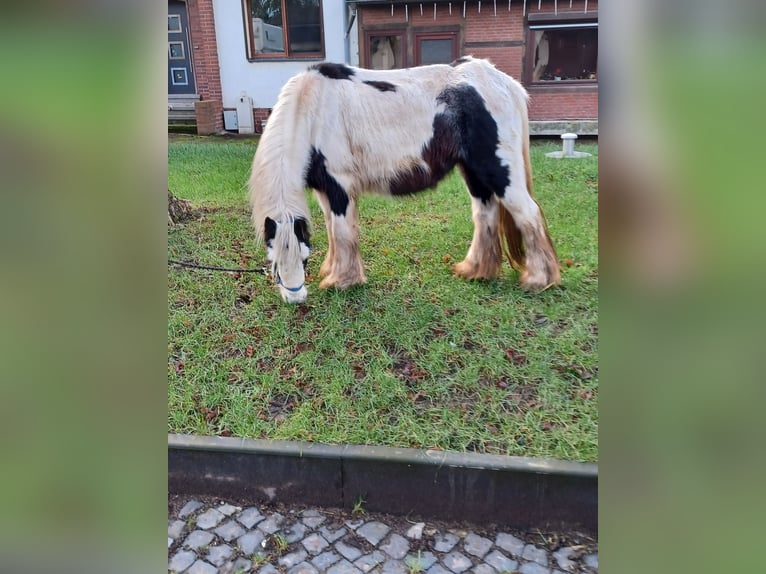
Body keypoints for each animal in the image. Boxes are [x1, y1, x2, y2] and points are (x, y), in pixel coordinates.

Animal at [250, 55, 560, 304]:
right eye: (273, 263)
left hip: (499, 171)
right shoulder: (326, 189)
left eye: (303, 259)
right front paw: (332, 270)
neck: (312, 111)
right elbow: (332, 230)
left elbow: (342, 232)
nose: (296, 299)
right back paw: (476, 271)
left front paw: (342, 281)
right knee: (485, 214)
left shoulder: (340, 187)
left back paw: (539, 280)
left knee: (528, 214)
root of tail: (504, 83)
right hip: (474, 173)